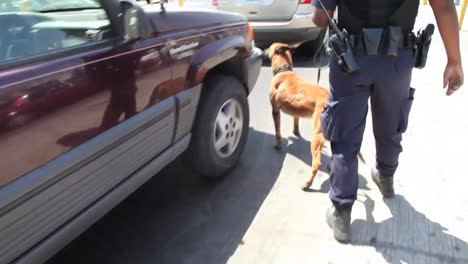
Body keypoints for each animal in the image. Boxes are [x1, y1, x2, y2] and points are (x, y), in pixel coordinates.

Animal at [266, 43, 366, 191]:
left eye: (269, 47)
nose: (261, 50)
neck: (283, 70)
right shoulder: (295, 110)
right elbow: (296, 120)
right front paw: (295, 132)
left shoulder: (275, 110)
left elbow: (277, 131)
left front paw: (278, 144)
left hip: (316, 137)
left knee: (316, 164)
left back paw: (308, 183)